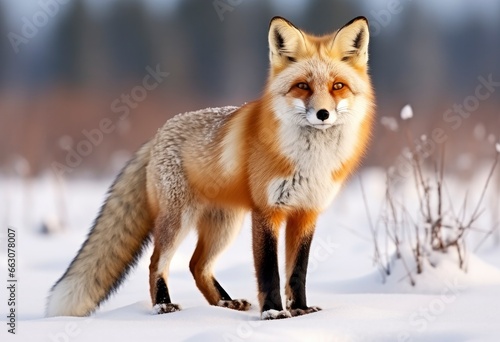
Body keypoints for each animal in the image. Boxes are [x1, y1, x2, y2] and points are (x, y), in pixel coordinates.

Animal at [47, 16, 376, 320]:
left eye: (337, 86)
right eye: (302, 86)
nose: (323, 114)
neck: (310, 161)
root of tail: (158, 133)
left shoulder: (306, 213)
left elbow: (298, 272)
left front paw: (301, 310)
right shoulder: (267, 211)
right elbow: (269, 271)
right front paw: (272, 312)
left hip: (224, 225)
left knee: (197, 265)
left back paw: (225, 303)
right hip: (179, 221)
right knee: (157, 262)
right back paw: (163, 305)